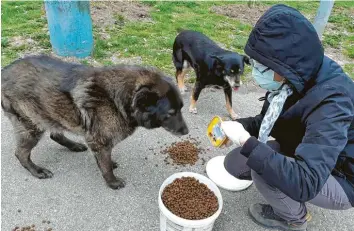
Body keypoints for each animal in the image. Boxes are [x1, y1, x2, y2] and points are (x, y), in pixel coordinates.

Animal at [1, 55, 189, 189]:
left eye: (181, 108)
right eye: (170, 113)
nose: (186, 132)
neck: (118, 99)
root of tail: (4, 71)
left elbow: (105, 159)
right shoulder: (100, 141)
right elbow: (105, 165)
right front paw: (112, 182)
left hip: (52, 114)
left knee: (55, 135)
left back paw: (73, 145)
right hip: (31, 126)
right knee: (21, 153)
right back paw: (37, 170)